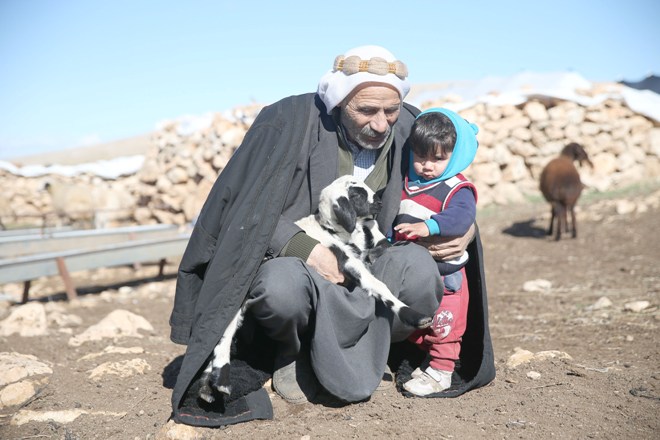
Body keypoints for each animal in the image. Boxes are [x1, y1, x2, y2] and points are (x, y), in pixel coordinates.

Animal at [199, 174, 436, 402]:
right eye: (357, 195)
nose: (379, 201)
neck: (334, 230)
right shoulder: (347, 260)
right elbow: (377, 285)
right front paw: (415, 316)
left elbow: (382, 248)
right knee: (225, 335)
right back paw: (220, 382)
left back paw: (207, 388)